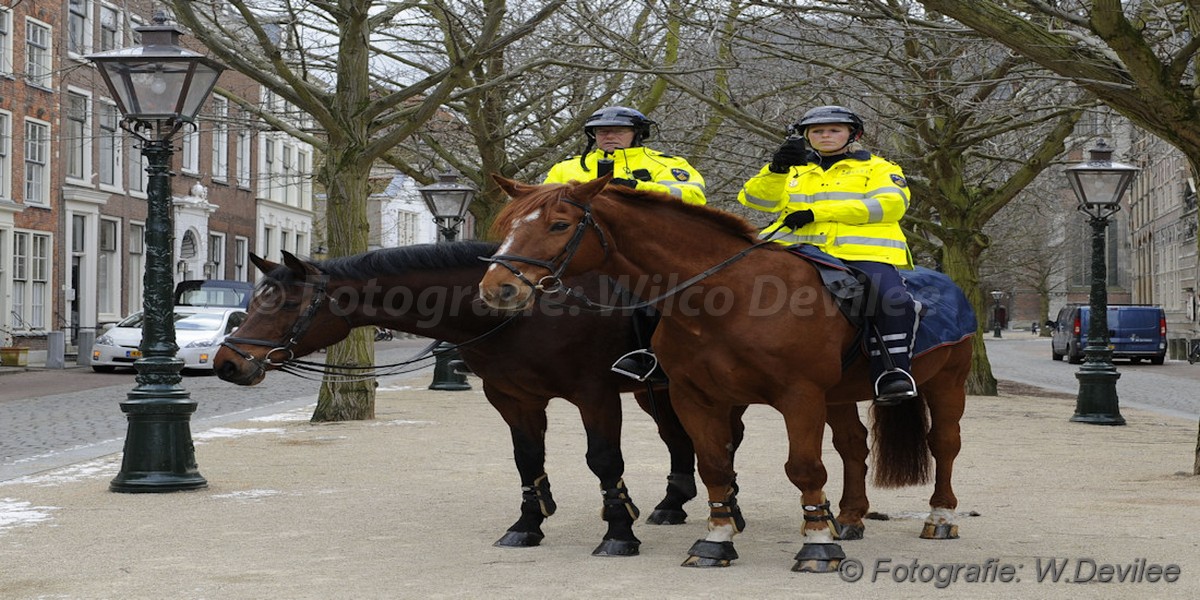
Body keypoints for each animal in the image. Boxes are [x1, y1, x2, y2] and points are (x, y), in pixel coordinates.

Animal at [211, 242, 873, 556]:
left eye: (284, 302)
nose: (227, 363)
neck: (519, 312)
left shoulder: (594, 393)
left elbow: (604, 461)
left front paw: (617, 532)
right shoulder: (512, 398)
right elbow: (528, 460)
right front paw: (528, 524)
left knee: (727, 442)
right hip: (661, 393)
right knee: (687, 443)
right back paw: (680, 505)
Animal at [477, 176, 974, 571]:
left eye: (559, 225)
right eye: (509, 226)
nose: (498, 288)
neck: (729, 296)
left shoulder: (799, 396)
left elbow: (804, 468)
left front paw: (817, 545)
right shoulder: (696, 397)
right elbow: (714, 464)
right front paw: (716, 540)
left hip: (947, 382)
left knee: (944, 444)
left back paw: (940, 518)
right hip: (839, 395)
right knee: (853, 447)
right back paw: (851, 518)